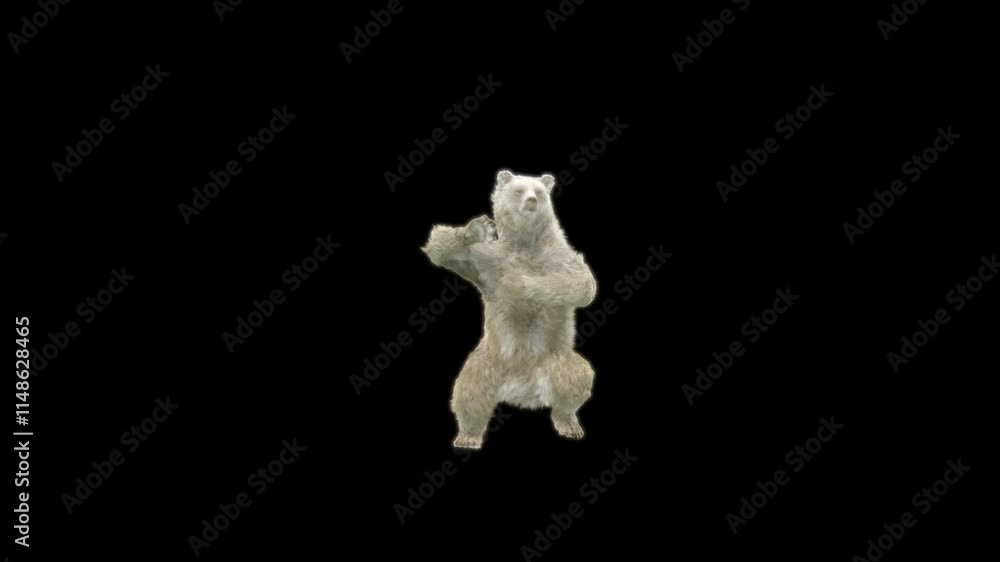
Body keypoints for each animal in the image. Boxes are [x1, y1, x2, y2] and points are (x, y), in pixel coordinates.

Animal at [421, 170, 597, 450]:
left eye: (539, 191)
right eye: (519, 190)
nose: (531, 201)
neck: (526, 243)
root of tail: (522, 390)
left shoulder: (560, 257)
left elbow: (581, 284)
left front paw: (519, 283)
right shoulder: (488, 261)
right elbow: (444, 251)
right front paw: (476, 229)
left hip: (552, 358)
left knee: (575, 376)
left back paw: (569, 424)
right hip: (488, 361)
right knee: (468, 390)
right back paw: (468, 435)